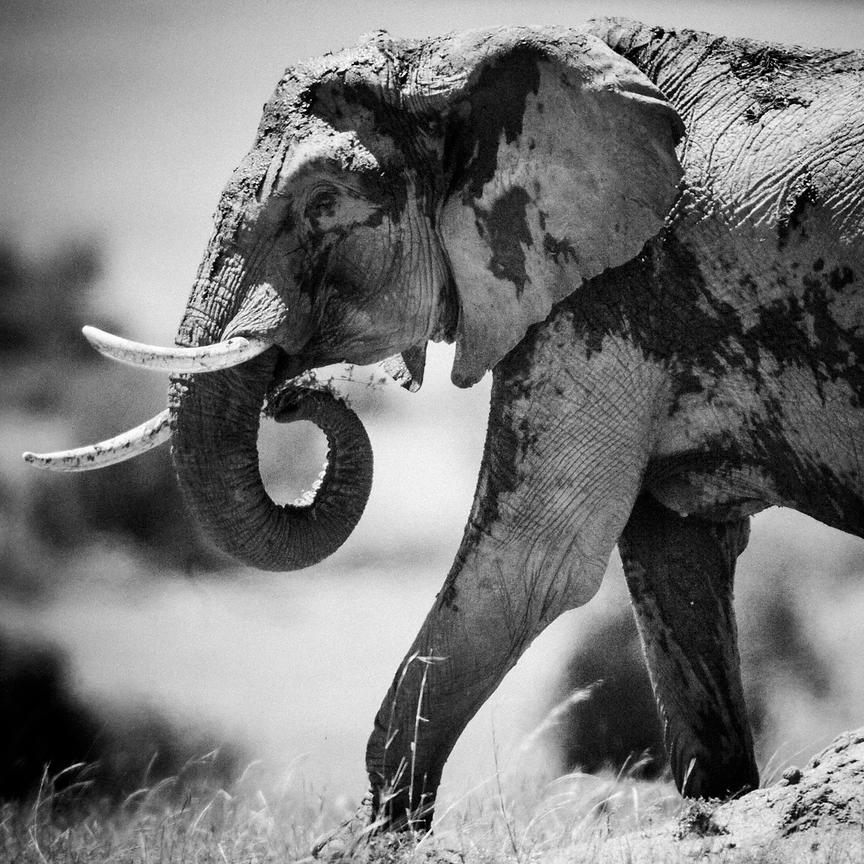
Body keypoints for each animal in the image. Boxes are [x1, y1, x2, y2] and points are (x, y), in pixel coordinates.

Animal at [23, 16, 864, 832]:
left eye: (323, 203)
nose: (290, 398)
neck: (462, 55)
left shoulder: (607, 294)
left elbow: (533, 556)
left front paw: (386, 832)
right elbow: (673, 553)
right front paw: (717, 806)